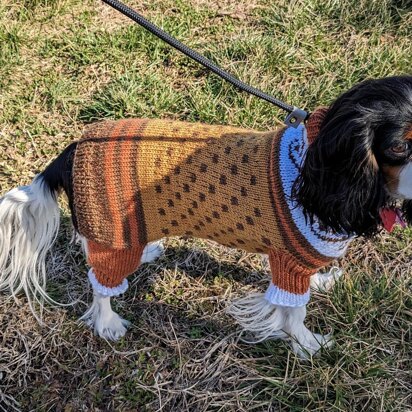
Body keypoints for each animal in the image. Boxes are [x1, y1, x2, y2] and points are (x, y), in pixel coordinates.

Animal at [0, 75, 412, 358]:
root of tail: (75, 147)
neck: (317, 164)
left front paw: (323, 282)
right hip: (111, 235)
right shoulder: (289, 262)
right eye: (399, 146)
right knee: (102, 284)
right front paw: (310, 345)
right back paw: (108, 322)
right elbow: (294, 311)